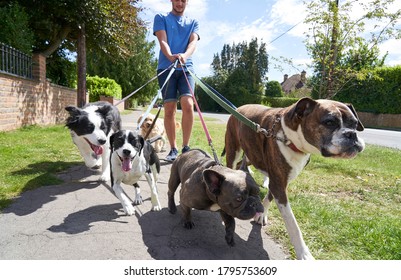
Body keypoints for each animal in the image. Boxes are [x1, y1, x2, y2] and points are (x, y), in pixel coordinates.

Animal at [223, 97, 364, 260]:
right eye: (329, 122)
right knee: (233, 164)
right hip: (233, 150)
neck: (290, 138)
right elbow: (292, 223)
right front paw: (303, 253)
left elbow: (269, 197)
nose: (351, 134)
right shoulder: (279, 185)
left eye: (354, 124)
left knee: (245, 163)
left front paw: (262, 214)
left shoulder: (278, 181)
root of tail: (239, 108)